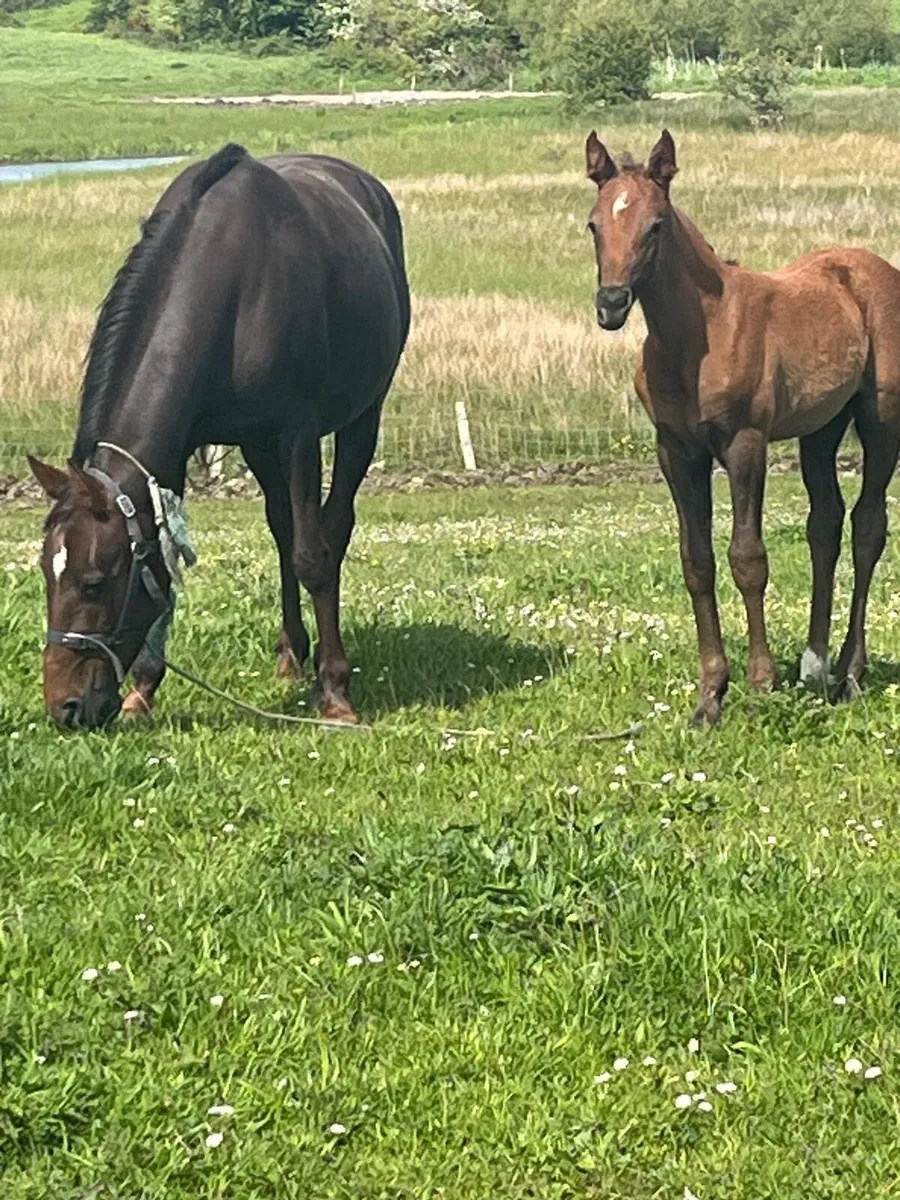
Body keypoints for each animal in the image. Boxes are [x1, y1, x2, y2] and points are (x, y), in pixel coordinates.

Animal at [29, 142, 410, 729]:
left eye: (93, 582)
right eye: (47, 574)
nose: (66, 707)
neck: (234, 285)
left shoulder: (296, 435)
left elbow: (313, 557)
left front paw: (337, 693)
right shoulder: (183, 450)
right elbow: (169, 566)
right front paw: (143, 689)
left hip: (361, 417)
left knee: (331, 528)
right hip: (257, 446)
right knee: (282, 530)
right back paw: (291, 655)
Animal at [584, 128, 900, 726]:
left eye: (655, 225)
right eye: (594, 224)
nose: (611, 304)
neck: (699, 334)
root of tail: (871, 267)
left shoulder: (744, 443)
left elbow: (747, 558)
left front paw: (759, 683)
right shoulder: (676, 451)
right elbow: (697, 561)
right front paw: (710, 695)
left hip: (880, 419)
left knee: (869, 526)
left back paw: (850, 672)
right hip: (821, 428)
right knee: (825, 523)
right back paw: (816, 664)